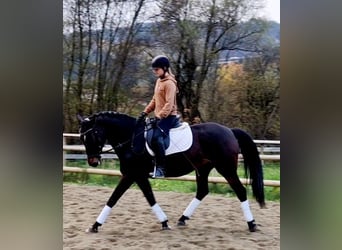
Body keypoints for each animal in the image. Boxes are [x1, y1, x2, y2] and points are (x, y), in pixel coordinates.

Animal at [77, 111, 264, 232]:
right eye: (82, 138)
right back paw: (182, 219)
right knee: (202, 191)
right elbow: (149, 197)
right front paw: (165, 222)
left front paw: (95, 225)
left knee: (240, 191)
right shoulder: (138, 176)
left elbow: (114, 198)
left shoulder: (131, 175)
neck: (131, 139)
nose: (93, 162)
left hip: (226, 169)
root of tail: (229, 131)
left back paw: (252, 224)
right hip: (202, 169)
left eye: (92, 135)